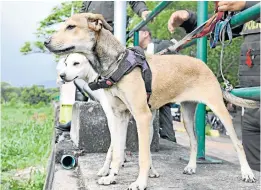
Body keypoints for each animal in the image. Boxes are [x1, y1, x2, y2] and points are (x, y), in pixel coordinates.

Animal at [43, 12, 256, 189]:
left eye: (71, 27)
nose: (46, 41)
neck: (117, 64)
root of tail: (203, 65)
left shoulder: (142, 116)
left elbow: (143, 156)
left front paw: (140, 182)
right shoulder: (119, 116)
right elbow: (117, 150)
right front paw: (111, 177)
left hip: (219, 110)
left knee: (237, 144)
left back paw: (247, 174)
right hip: (186, 115)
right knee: (195, 142)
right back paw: (191, 167)